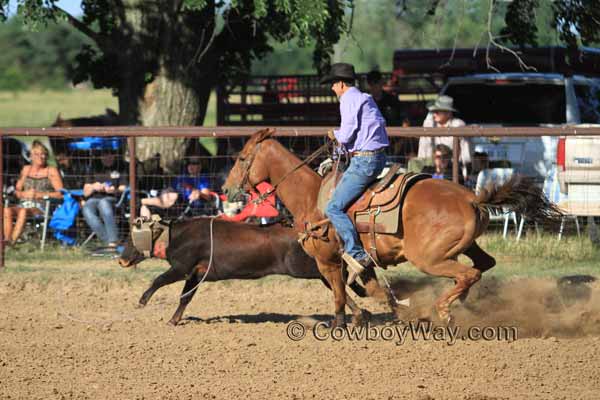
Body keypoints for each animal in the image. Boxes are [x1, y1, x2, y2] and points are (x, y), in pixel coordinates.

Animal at [221, 130, 564, 326]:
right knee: (483, 265)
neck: (310, 196)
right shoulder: (348, 263)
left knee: (468, 273)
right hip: (463, 247)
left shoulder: (327, 259)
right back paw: (460, 303)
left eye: (242, 158)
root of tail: (472, 198)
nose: (225, 190)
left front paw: (341, 324)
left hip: (430, 258)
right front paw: (377, 314)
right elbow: (359, 289)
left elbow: (338, 294)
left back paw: (443, 310)